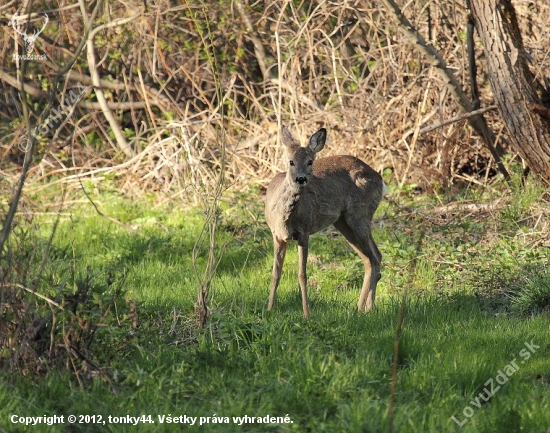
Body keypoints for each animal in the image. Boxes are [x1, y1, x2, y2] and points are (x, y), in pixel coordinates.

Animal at [266, 125, 386, 318]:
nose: (301, 178)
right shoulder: (276, 235)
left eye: (310, 162)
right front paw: (269, 309)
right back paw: (364, 308)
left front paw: (306, 315)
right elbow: (275, 274)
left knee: (374, 257)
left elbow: (302, 274)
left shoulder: (304, 231)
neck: (284, 218)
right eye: (291, 161)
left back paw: (364, 308)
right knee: (370, 258)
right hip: (343, 223)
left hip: (360, 215)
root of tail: (381, 181)